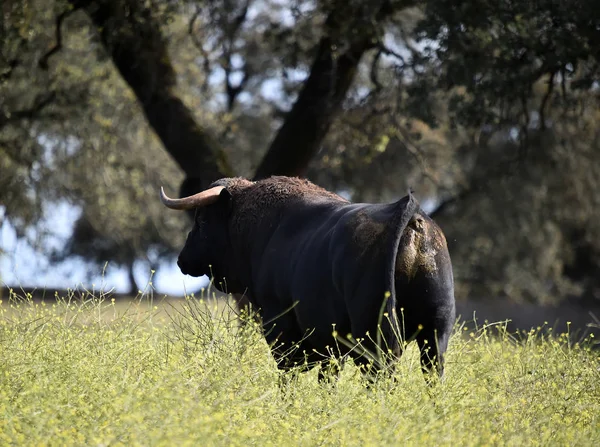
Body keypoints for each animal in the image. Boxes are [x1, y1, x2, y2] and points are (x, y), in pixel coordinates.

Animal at [161, 177, 454, 380]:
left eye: (202, 220)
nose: (182, 259)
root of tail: (409, 214)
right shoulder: (330, 345)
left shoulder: (280, 329)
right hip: (435, 337)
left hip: (375, 338)